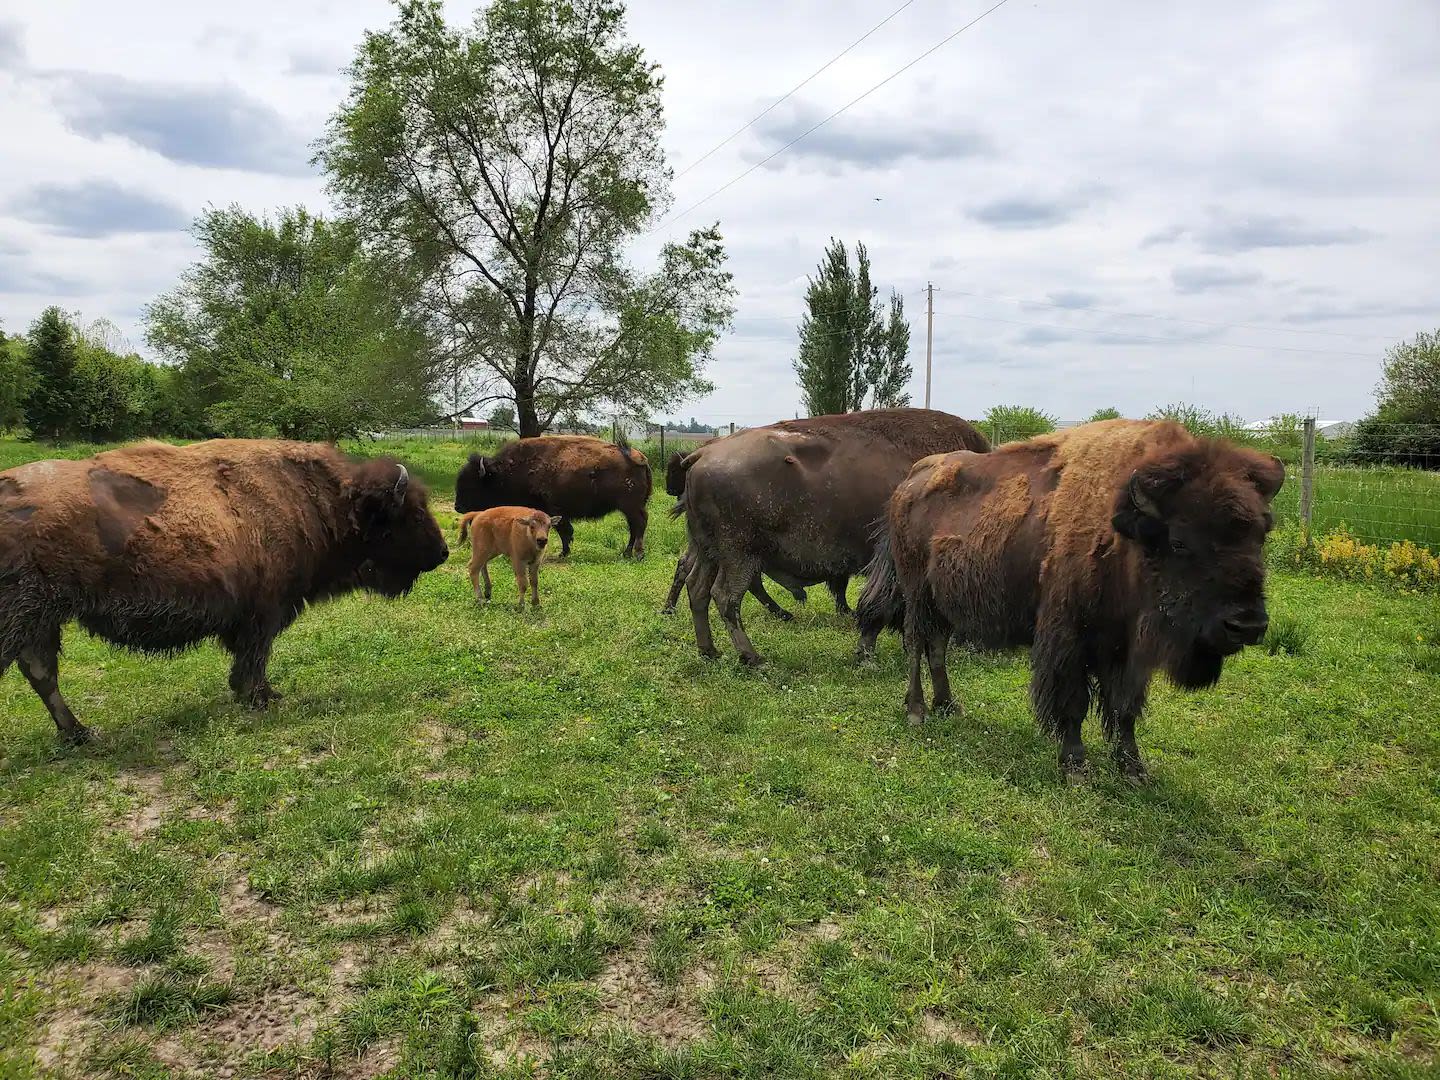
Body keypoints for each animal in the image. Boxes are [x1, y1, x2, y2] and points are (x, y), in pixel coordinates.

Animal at [0, 440, 449, 743]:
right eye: (412, 513)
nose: (443, 552)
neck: (322, 503)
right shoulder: (265, 612)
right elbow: (255, 657)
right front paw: (262, 697)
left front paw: (255, 693)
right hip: (25, 615)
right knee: (39, 672)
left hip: (42, 619)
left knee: (42, 673)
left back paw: (79, 734)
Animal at [455, 437, 653, 561]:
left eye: (471, 484)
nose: (458, 506)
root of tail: (638, 457)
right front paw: (562, 552)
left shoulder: (553, 510)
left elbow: (563, 531)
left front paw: (562, 553)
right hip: (629, 508)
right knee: (634, 527)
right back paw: (627, 553)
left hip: (630, 507)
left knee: (639, 525)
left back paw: (637, 554)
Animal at [673, 408, 990, 668]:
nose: (981, 647)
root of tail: (701, 454)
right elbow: (881, 606)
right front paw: (867, 656)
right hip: (739, 555)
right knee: (725, 597)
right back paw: (753, 658)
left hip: (710, 552)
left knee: (698, 588)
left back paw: (710, 651)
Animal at [858, 423, 1290, 789]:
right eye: (1180, 541)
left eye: (1260, 536)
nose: (1247, 624)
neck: (1123, 532)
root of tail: (907, 485)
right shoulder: (1070, 638)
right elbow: (1075, 703)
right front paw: (1076, 768)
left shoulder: (1126, 650)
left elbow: (1125, 708)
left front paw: (1134, 769)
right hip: (917, 593)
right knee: (916, 643)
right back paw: (917, 711)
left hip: (944, 603)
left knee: (937, 648)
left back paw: (948, 705)